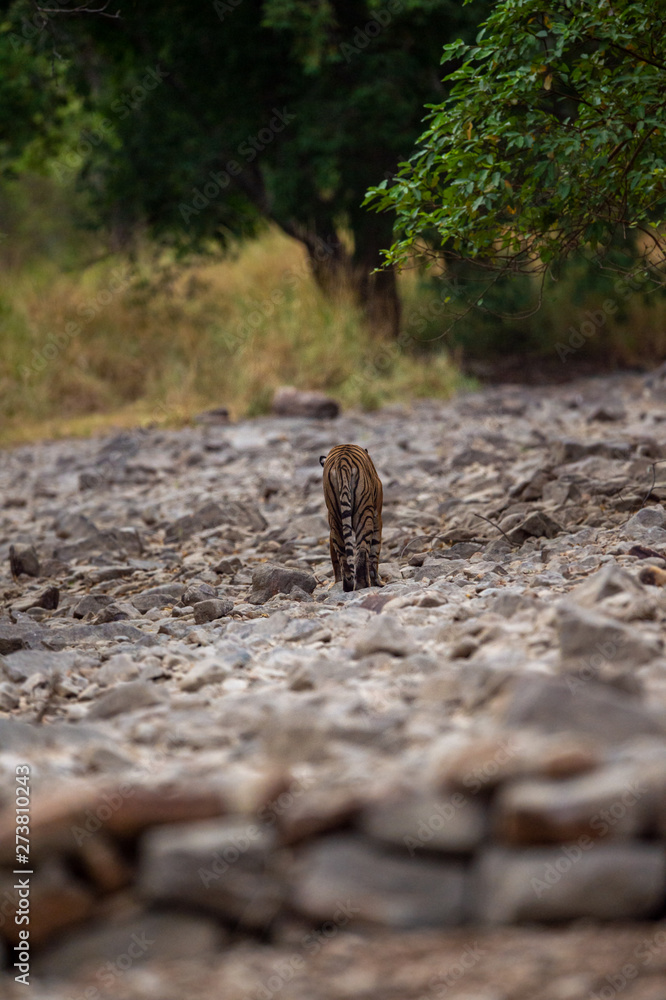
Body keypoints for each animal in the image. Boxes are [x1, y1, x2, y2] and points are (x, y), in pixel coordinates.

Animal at [319, 444, 383, 592]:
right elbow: (375, 549)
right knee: (362, 550)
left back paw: (348, 586)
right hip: (364, 514)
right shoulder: (377, 517)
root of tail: (342, 461)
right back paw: (363, 585)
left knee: (342, 555)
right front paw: (377, 582)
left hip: (336, 519)